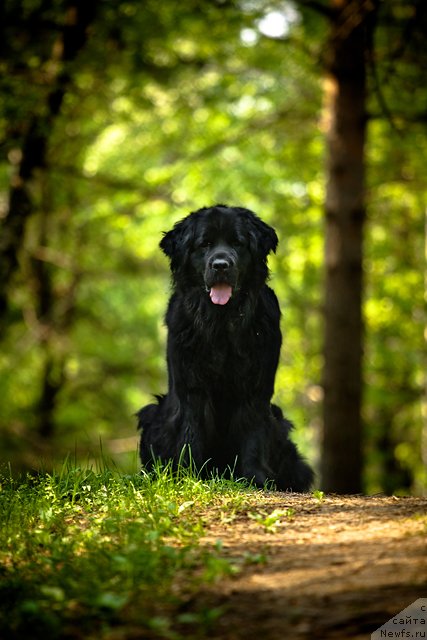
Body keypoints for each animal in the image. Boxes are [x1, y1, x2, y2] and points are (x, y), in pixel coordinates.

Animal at [138, 202, 314, 492]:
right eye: (205, 244)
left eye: (237, 243)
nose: (221, 265)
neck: (220, 322)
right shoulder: (191, 386)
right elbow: (191, 431)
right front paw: (189, 476)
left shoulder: (256, 386)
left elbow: (252, 433)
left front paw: (256, 479)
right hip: (153, 413)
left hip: (279, 424)